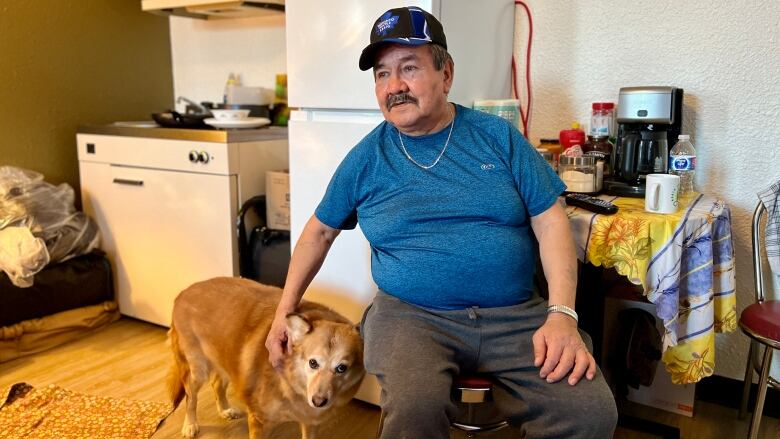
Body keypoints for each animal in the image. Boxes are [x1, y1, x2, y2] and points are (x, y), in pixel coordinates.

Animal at [168, 278, 366, 439]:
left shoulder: (310, 423)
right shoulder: (258, 420)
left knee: (216, 383)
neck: (290, 383)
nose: (319, 402)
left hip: (225, 358)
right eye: (313, 363)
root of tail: (184, 292)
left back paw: (225, 410)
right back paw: (190, 425)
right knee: (190, 398)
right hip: (197, 369)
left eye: (342, 368)